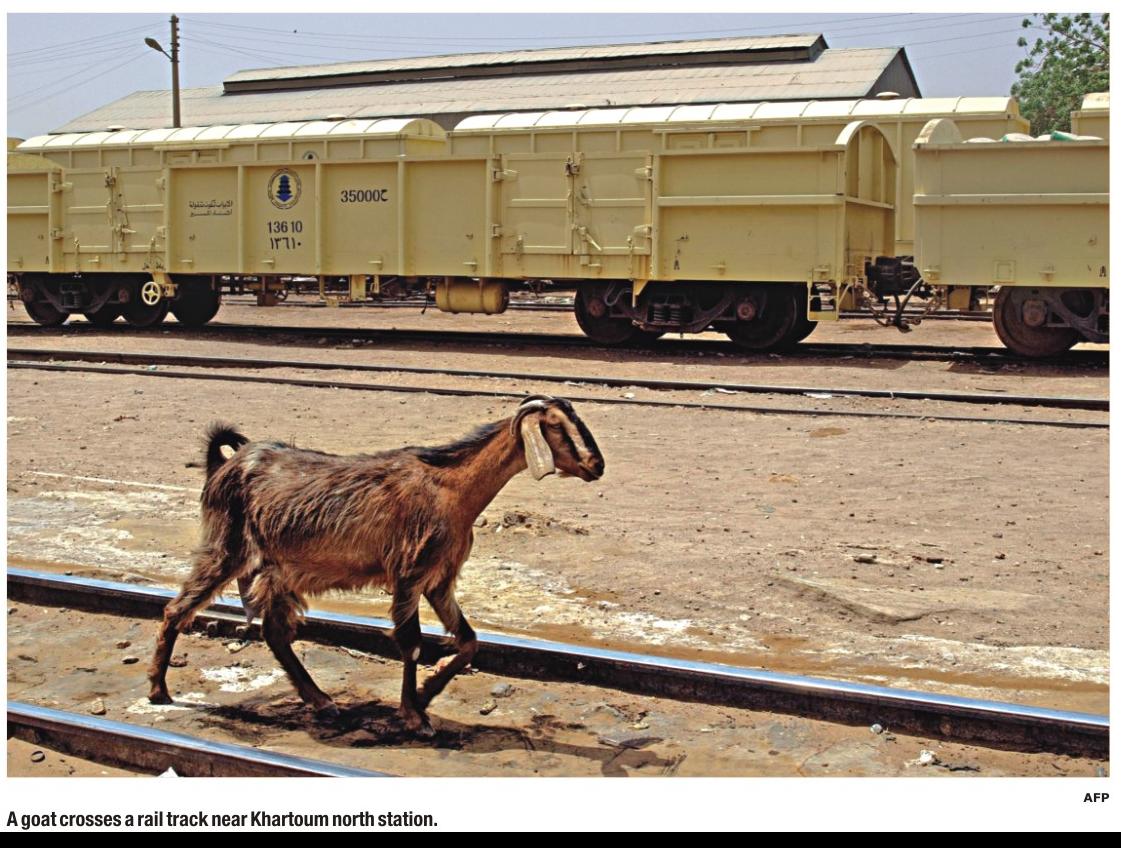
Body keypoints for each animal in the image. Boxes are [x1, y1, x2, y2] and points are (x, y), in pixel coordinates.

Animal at [147, 395, 604, 735]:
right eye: (557, 427)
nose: (596, 465)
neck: (451, 489)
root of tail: (226, 463)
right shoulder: (409, 574)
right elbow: (411, 643)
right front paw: (414, 713)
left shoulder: (440, 579)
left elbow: (470, 641)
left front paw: (429, 689)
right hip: (228, 549)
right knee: (176, 610)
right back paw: (157, 690)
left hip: (279, 568)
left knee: (274, 632)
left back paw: (321, 701)